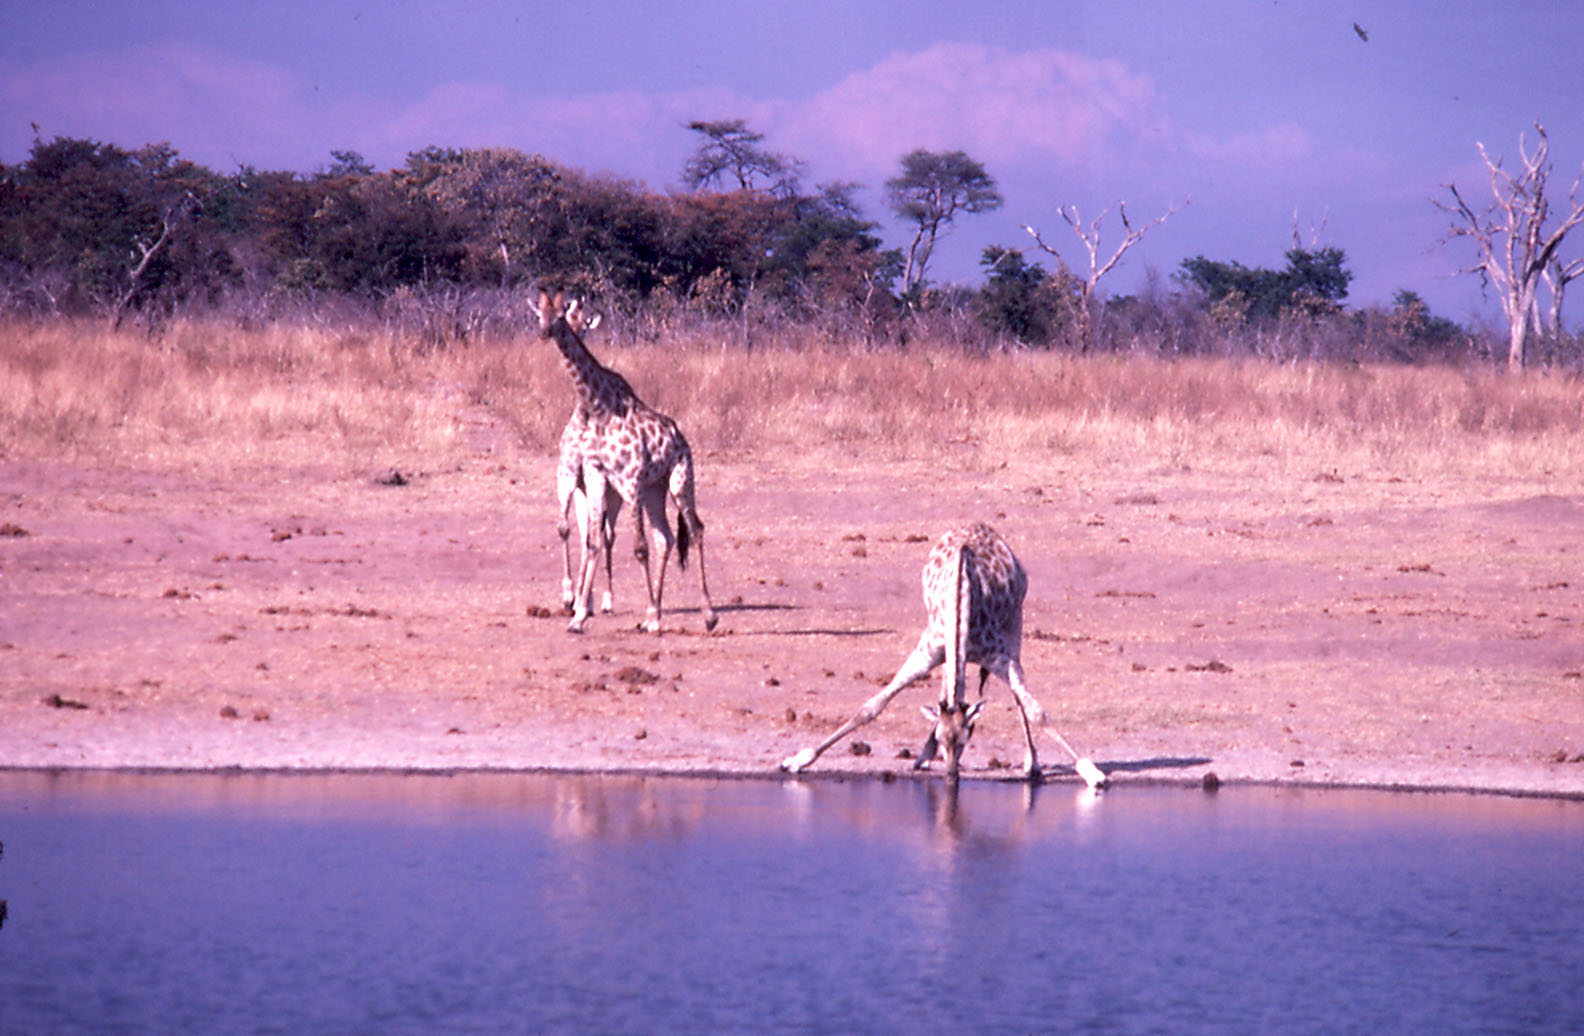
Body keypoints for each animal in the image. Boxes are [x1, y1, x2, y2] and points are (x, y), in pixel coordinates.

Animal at [537, 289, 717, 635]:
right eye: (539, 314)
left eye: (561, 317)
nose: (545, 333)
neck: (597, 408)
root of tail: (681, 439)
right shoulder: (593, 475)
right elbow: (591, 540)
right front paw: (578, 614)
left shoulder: (629, 480)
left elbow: (637, 547)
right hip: (653, 490)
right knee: (664, 537)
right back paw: (651, 615)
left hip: (679, 481)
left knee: (695, 530)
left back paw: (707, 615)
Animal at [780, 522, 1107, 785]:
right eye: (942, 738)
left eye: (966, 740)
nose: (951, 777)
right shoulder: (928, 651)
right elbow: (872, 706)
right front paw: (797, 760)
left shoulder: (999, 657)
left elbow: (1036, 710)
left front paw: (1090, 772)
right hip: (948, 651)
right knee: (947, 683)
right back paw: (923, 756)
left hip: (1015, 620)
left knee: (1016, 694)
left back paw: (1031, 762)